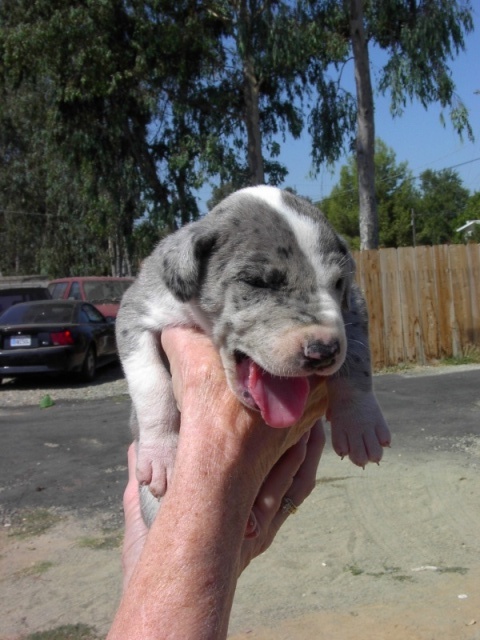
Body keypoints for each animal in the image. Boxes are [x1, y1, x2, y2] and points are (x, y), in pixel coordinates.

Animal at [116, 186, 390, 524]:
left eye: (338, 283)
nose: (324, 351)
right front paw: (161, 453)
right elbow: (151, 384)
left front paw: (360, 423)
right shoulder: (137, 312)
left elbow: (358, 359)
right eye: (258, 282)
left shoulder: (354, 304)